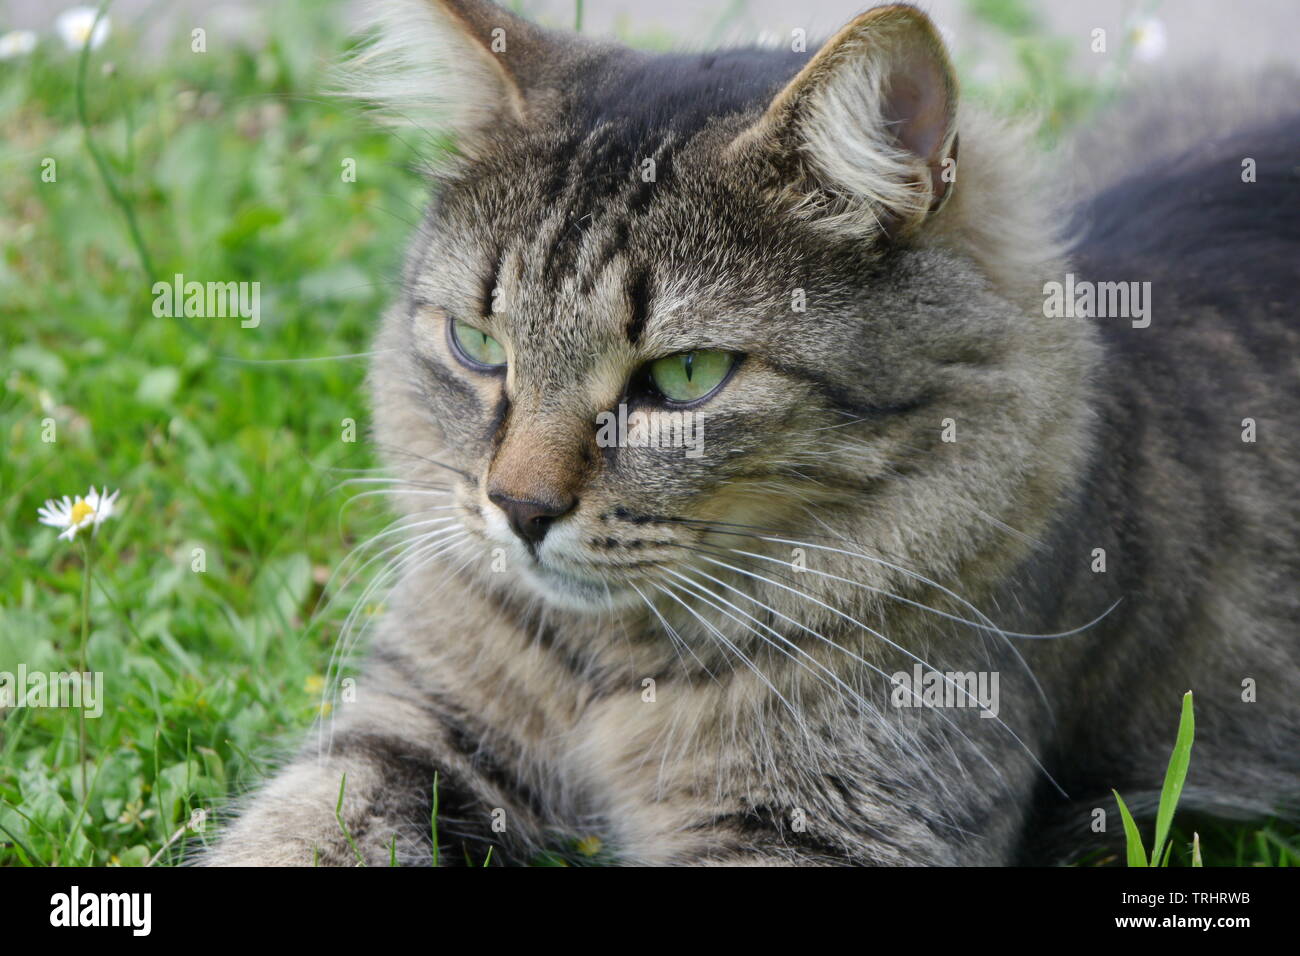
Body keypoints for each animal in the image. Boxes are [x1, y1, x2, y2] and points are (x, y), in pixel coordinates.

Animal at [202, 1, 1300, 868]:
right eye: (478, 346)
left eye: (685, 378)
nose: (517, 508)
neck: (604, 667)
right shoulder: (410, 726)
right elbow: (291, 833)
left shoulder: (823, 824)